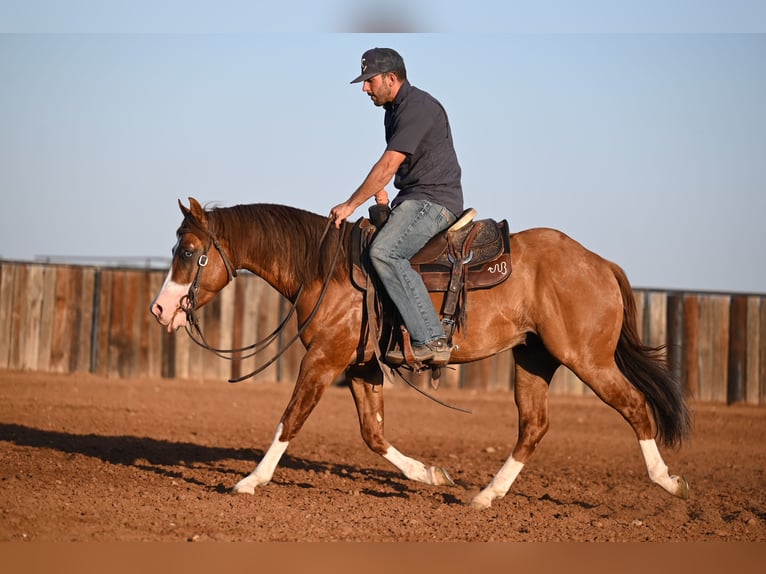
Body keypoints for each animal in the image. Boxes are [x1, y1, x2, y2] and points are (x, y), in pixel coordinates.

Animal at [148, 197, 688, 508]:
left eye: (187, 251)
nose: (159, 308)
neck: (325, 268)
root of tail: (600, 262)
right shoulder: (360, 367)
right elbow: (373, 434)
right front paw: (430, 474)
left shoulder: (323, 360)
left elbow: (290, 419)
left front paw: (250, 481)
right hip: (534, 358)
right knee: (533, 426)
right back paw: (485, 496)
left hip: (588, 359)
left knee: (636, 407)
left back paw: (668, 481)